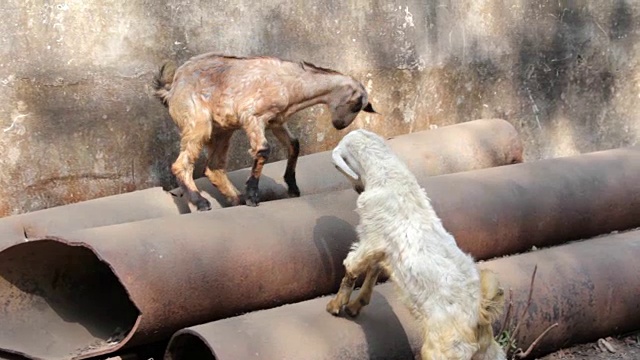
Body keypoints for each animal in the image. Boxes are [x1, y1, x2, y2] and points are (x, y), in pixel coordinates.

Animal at [153, 52, 378, 210]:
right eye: (356, 106)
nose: (340, 125)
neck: (292, 84)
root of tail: (171, 89)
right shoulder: (252, 117)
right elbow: (263, 150)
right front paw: (253, 195)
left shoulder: (276, 121)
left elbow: (294, 145)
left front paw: (292, 187)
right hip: (197, 123)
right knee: (181, 164)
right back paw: (201, 202)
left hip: (223, 130)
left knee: (214, 167)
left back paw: (237, 198)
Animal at [328, 129, 508, 360]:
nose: (358, 189)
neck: (390, 178)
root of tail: (479, 315)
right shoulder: (383, 250)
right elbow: (374, 270)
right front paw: (355, 306)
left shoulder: (372, 237)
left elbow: (351, 266)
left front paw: (335, 306)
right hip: (490, 354)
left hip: (441, 351)